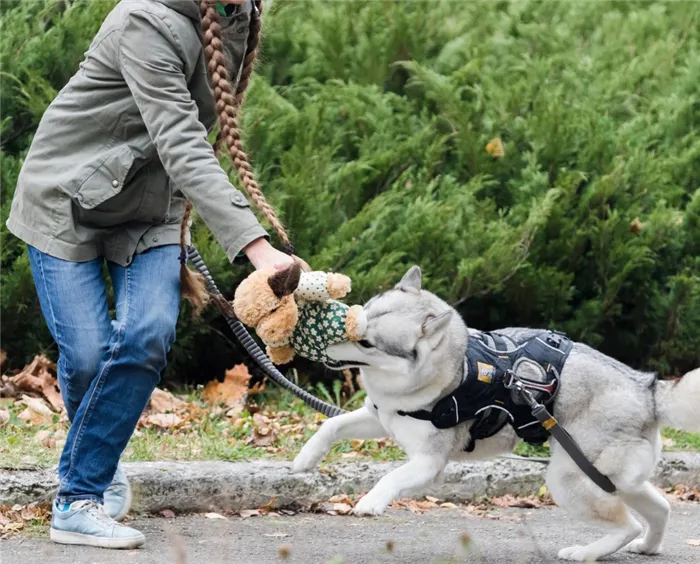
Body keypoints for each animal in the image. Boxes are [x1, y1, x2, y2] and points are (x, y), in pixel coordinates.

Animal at [292, 266, 700, 560]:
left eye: (365, 343)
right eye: (357, 316)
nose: (321, 346)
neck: (449, 373)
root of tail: (647, 388)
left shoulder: (427, 463)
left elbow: (390, 477)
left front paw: (371, 501)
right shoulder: (380, 417)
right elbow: (331, 425)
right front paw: (304, 460)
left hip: (567, 477)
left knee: (628, 525)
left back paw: (585, 553)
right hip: (614, 480)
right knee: (662, 508)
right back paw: (648, 547)